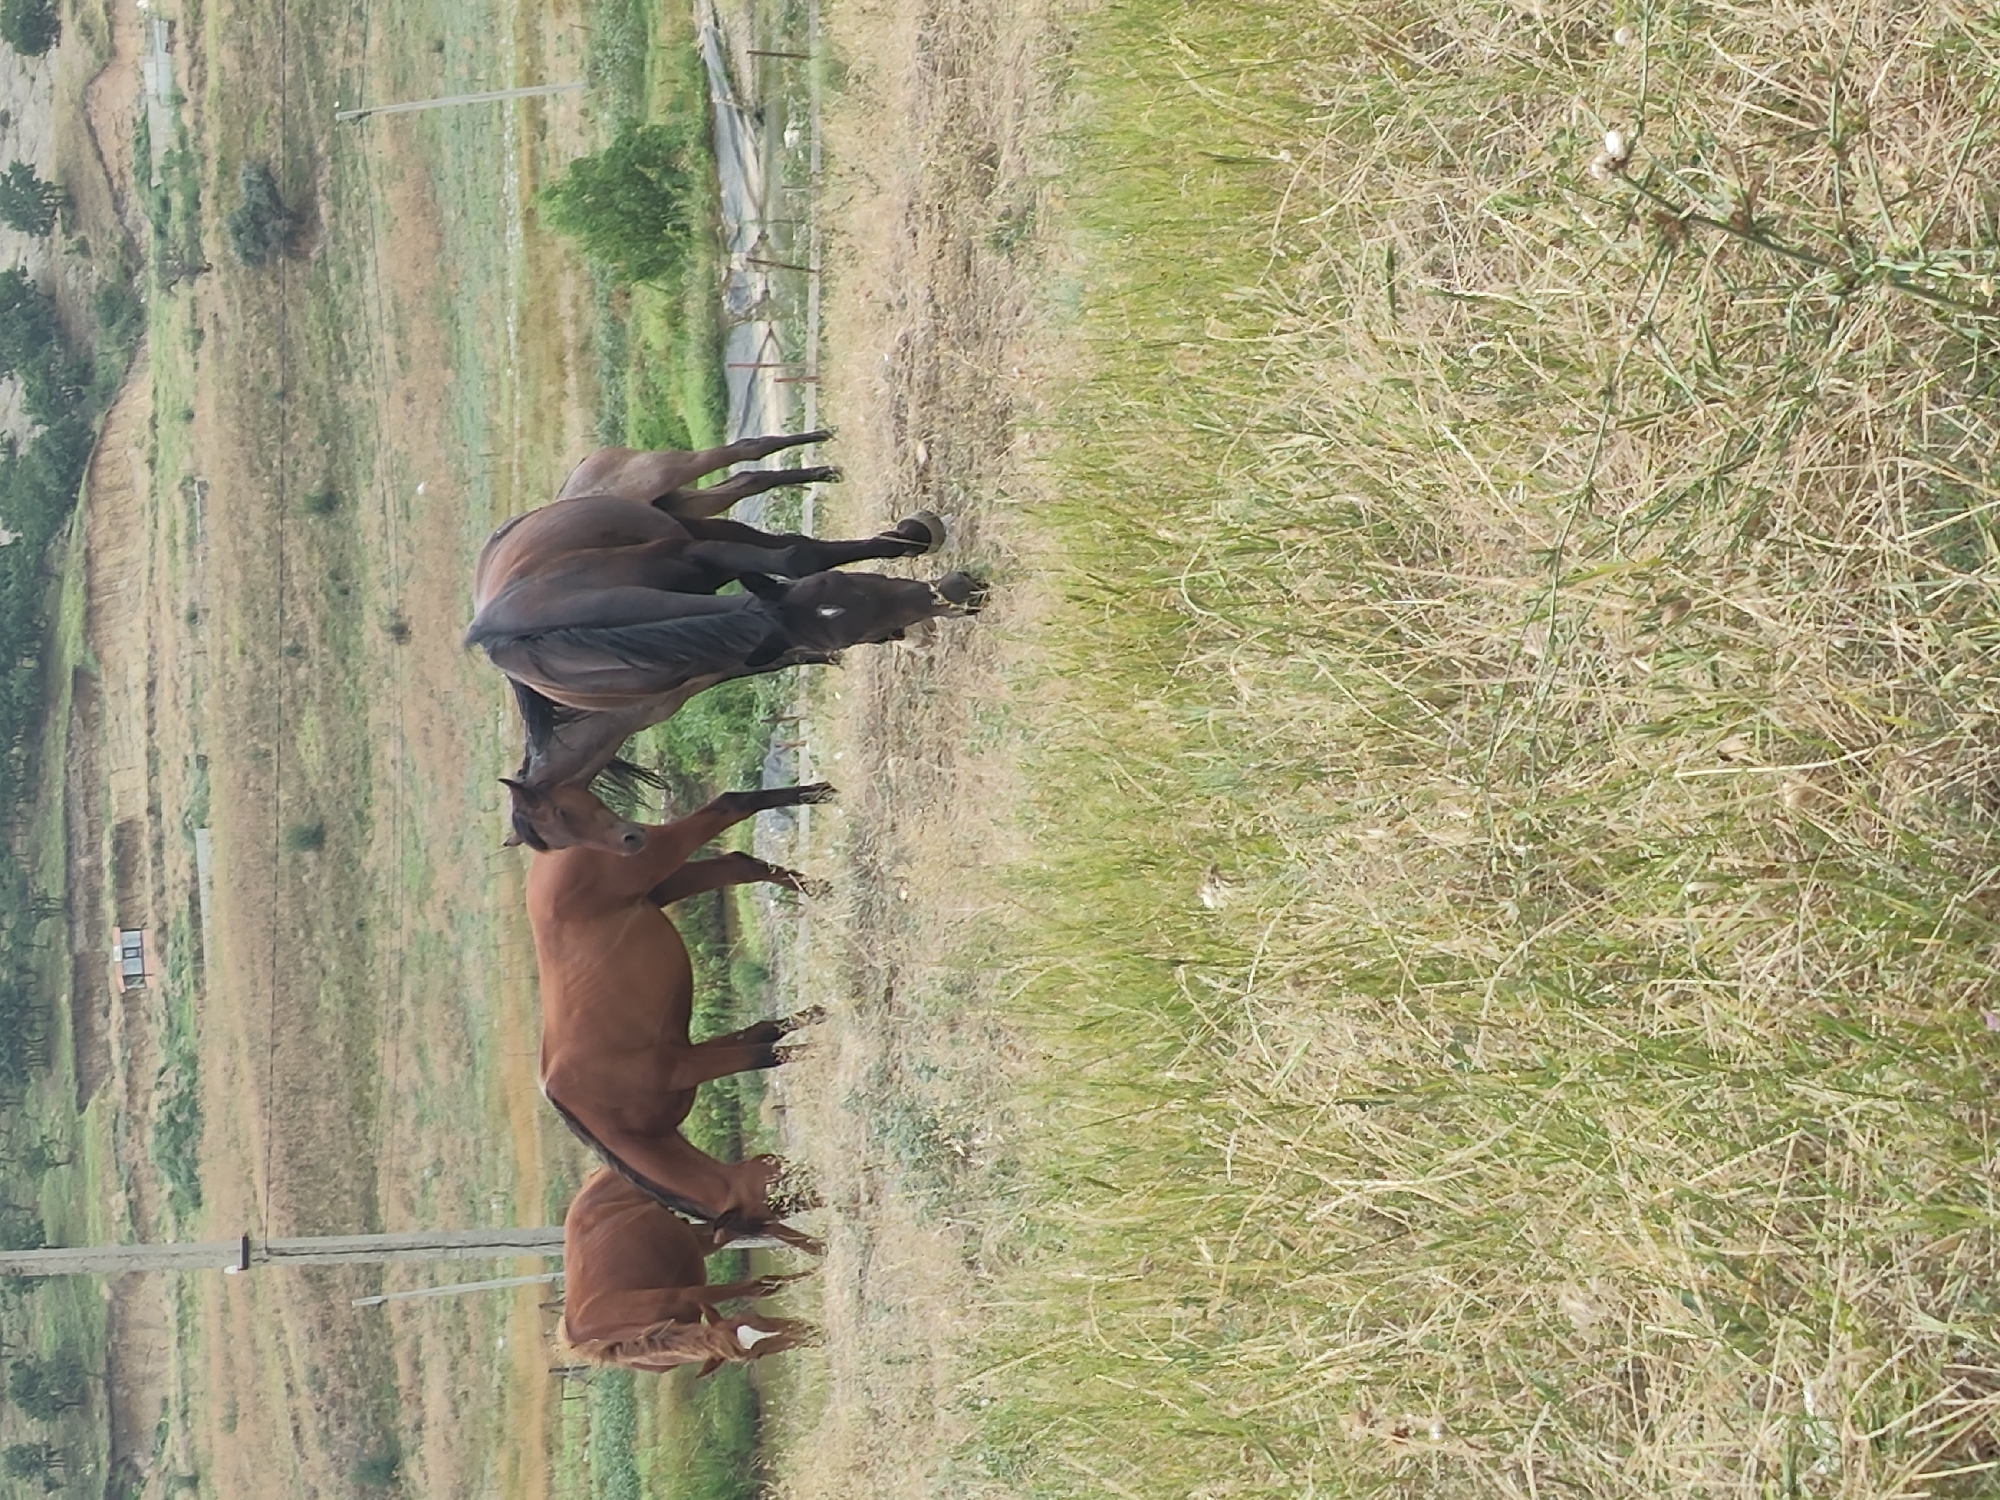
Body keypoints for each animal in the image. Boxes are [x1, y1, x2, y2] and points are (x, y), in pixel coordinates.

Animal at [469, 430, 983, 852]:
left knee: (745, 456)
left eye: (564, 812)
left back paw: (826, 458)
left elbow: (799, 557)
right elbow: (780, 635)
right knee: (746, 483)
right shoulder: (706, 658)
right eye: (561, 830)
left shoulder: (697, 556)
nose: (954, 593)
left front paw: (911, 542)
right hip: (691, 514)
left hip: (677, 486)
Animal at [531, 780, 831, 1248]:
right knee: (739, 864)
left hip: (656, 856)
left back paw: (820, 797)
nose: (823, 1188)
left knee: (732, 806)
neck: (605, 1111)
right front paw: (823, 1017)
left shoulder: (685, 1064)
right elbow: (768, 1035)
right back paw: (823, 882)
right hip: (666, 882)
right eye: (775, 1207)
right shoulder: (690, 1051)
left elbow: (768, 1055)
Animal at [558, 1167, 813, 1375]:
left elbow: (763, 1286)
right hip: (701, 1237)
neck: (617, 1331)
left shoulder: (691, 1294)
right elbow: (765, 1284)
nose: (811, 1333)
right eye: (757, 1355)